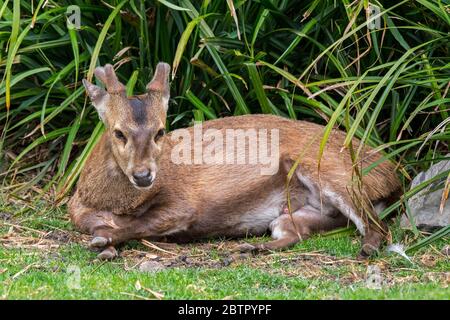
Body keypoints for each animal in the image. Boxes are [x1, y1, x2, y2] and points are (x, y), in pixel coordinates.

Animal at [69, 62, 400, 260]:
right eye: (118, 132)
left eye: (160, 131)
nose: (143, 175)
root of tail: (395, 174)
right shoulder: (78, 209)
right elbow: (93, 222)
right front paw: (107, 245)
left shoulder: (184, 203)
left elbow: (140, 223)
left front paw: (104, 242)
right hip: (300, 212)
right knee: (294, 232)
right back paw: (251, 246)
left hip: (335, 172)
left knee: (377, 226)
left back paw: (367, 249)